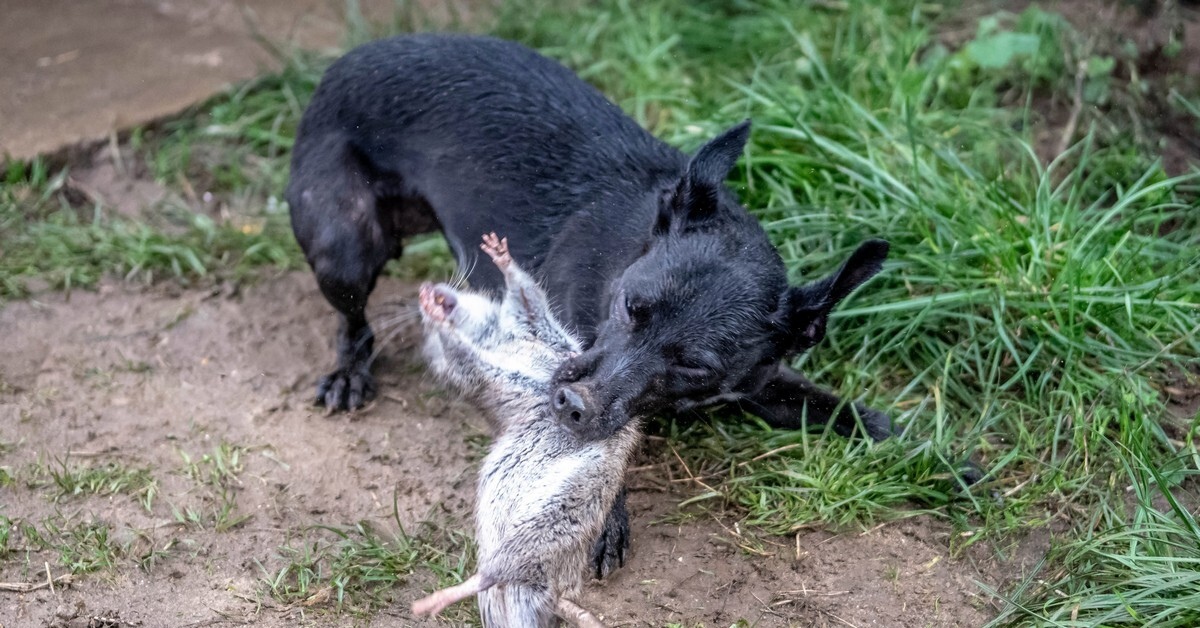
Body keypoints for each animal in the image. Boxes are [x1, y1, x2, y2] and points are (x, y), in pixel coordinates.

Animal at [288, 33, 892, 573]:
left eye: (696, 367)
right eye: (628, 305)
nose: (572, 401)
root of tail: (348, 59)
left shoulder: (763, 382)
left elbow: (853, 414)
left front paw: (909, 448)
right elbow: (588, 461)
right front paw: (602, 520)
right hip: (344, 247)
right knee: (353, 320)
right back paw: (349, 372)